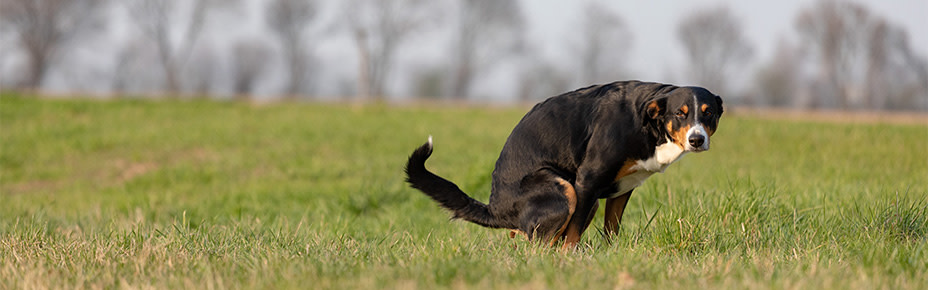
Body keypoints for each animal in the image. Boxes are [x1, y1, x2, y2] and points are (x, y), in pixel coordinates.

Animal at [406, 80, 724, 248]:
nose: (697, 139)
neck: (646, 123)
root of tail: (495, 207)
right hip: (566, 190)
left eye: (708, 113)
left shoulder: (621, 190)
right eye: (681, 113)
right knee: (539, 242)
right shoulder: (588, 180)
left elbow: (612, 229)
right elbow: (572, 237)